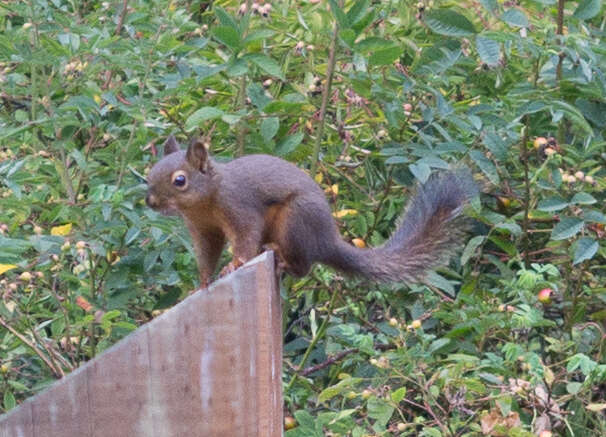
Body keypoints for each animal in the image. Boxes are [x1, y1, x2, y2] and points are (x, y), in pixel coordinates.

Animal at [145, 135, 478, 286]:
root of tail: (328, 241)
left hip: (296, 221)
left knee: (303, 266)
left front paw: (234, 264)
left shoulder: (238, 205)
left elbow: (245, 236)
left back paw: (281, 259)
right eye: (150, 173)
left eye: (180, 180)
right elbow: (207, 253)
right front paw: (201, 283)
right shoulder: (203, 229)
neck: (205, 203)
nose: (151, 202)